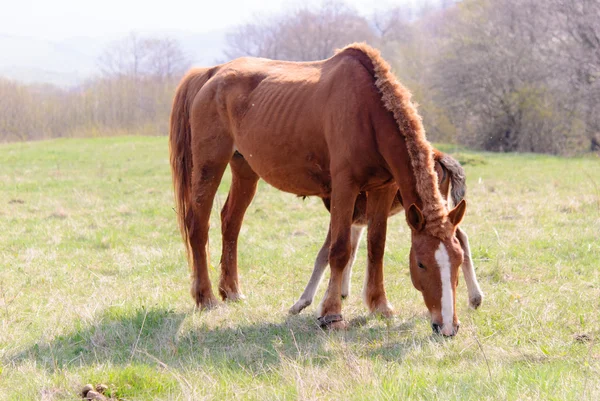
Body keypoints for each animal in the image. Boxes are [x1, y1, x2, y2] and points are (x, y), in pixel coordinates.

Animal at [288, 149, 486, 318]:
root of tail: (440, 156)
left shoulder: (344, 217)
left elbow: (324, 254)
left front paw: (301, 303)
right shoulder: (357, 222)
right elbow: (351, 252)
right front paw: (342, 292)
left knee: (459, 237)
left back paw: (474, 298)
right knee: (459, 235)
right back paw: (474, 299)